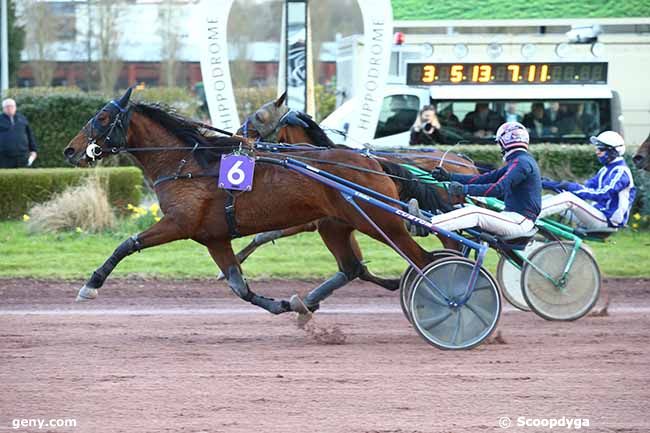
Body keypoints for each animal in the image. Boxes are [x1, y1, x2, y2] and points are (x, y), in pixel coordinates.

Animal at [63, 88, 438, 314]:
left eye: (102, 118)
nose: (69, 149)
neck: (186, 164)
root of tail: (371, 161)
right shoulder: (213, 237)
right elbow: (238, 286)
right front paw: (281, 305)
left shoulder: (179, 223)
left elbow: (127, 244)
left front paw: (90, 285)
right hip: (336, 225)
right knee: (354, 267)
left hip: (381, 221)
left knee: (424, 259)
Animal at [223, 94, 476, 274]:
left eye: (259, 117)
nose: (237, 135)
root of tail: (467, 162)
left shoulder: (310, 218)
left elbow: (264, 235)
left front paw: (236, 259)